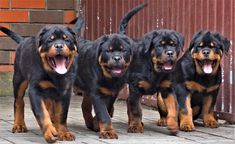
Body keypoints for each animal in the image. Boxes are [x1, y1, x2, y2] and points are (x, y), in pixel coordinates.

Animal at [73, 3, 147, 139]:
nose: (117, 58)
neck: (109, 77)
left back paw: (91, 122)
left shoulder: (112, 92)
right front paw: (107, 131)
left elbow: (105, 109)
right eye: (108, 51)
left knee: (85, 105)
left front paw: (97, 124)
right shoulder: (97, 92)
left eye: (123, 50)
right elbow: (103, 113)